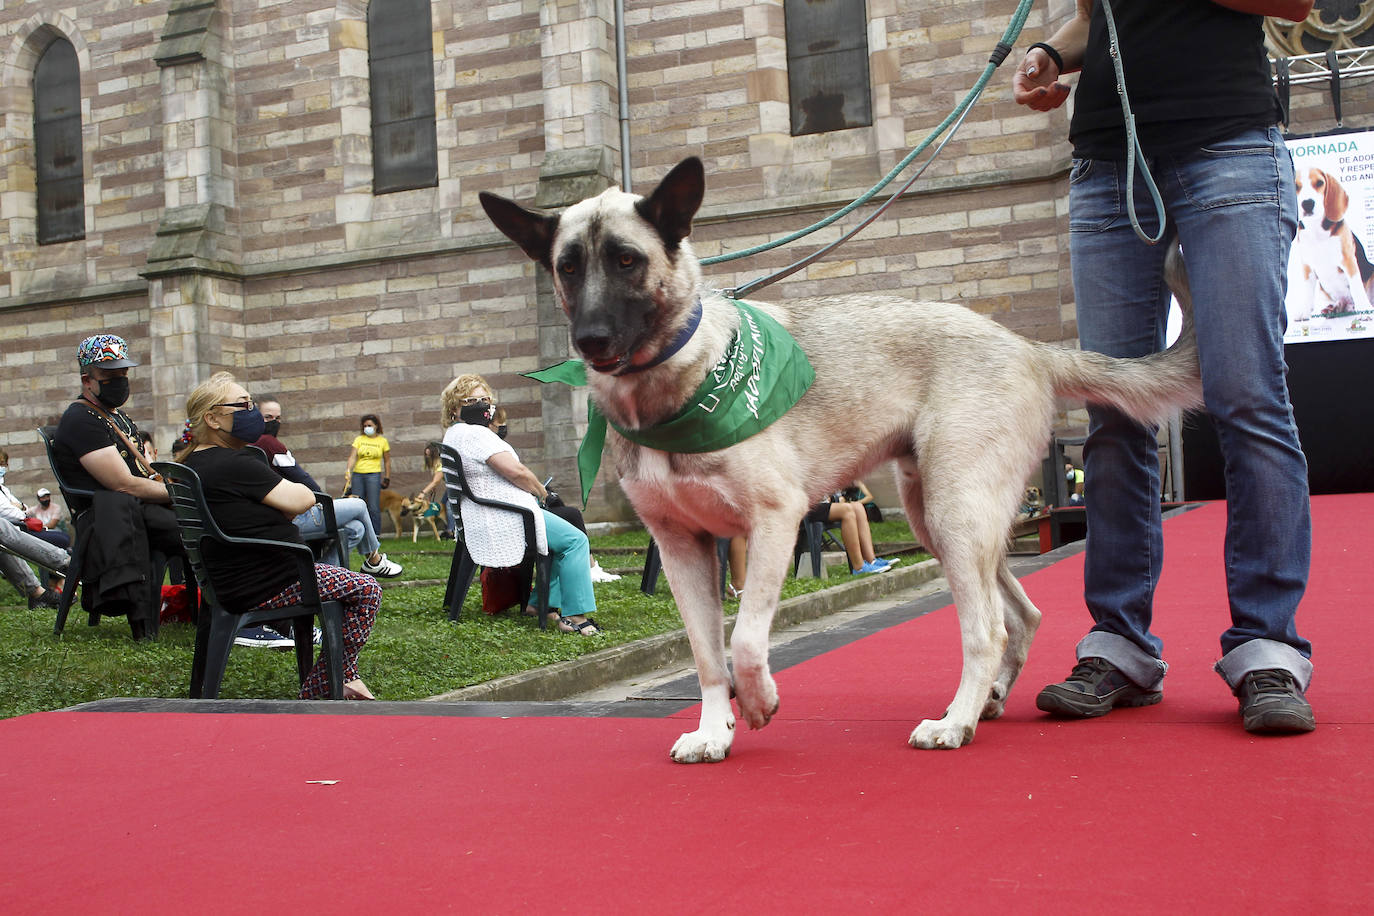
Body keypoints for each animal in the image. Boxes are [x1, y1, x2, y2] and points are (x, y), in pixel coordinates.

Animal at [480, 161, 1203, 763]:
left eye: (627, 260)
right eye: (568, 267)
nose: (590, 341)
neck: (677, 384)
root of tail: (1027, 346)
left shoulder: (775, 522)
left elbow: (745, 642)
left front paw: (760, 701)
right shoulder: (682, 548)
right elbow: (708, 656)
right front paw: (715, 730)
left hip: (957, 514)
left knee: (989, 629)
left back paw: (956, 721)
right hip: (942, 521)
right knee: (1022, 616)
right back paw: (986, 704)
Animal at [1291, 166, 1368, 321]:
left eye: (1320, 183)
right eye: (1295, 186)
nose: (1307, 203)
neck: (1316, 230)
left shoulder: (1348, 260)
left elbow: (1356, 286)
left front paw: (1365, 310)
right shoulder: (1307, 266)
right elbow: (1307, 291)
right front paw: (1304, 311)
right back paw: (1334, 308)